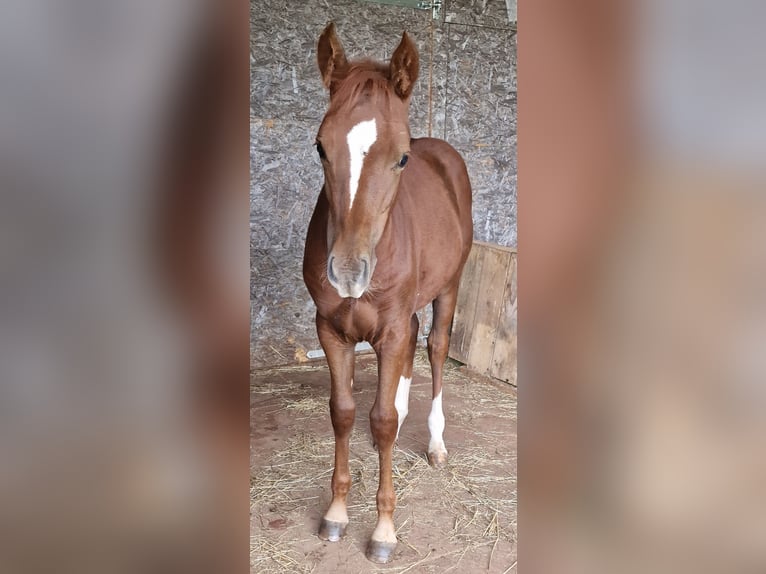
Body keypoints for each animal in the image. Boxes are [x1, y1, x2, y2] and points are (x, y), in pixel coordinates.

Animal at [302, 23, 472, 568]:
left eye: (401, 156)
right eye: (320, 147)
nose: (348, 272)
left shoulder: (392, 325)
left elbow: (378, 420)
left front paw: (383, 531)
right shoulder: (331, 330)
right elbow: (344, 413)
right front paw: (336, 514)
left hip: (448, 287)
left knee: (434, 346)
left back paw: (435, 443)